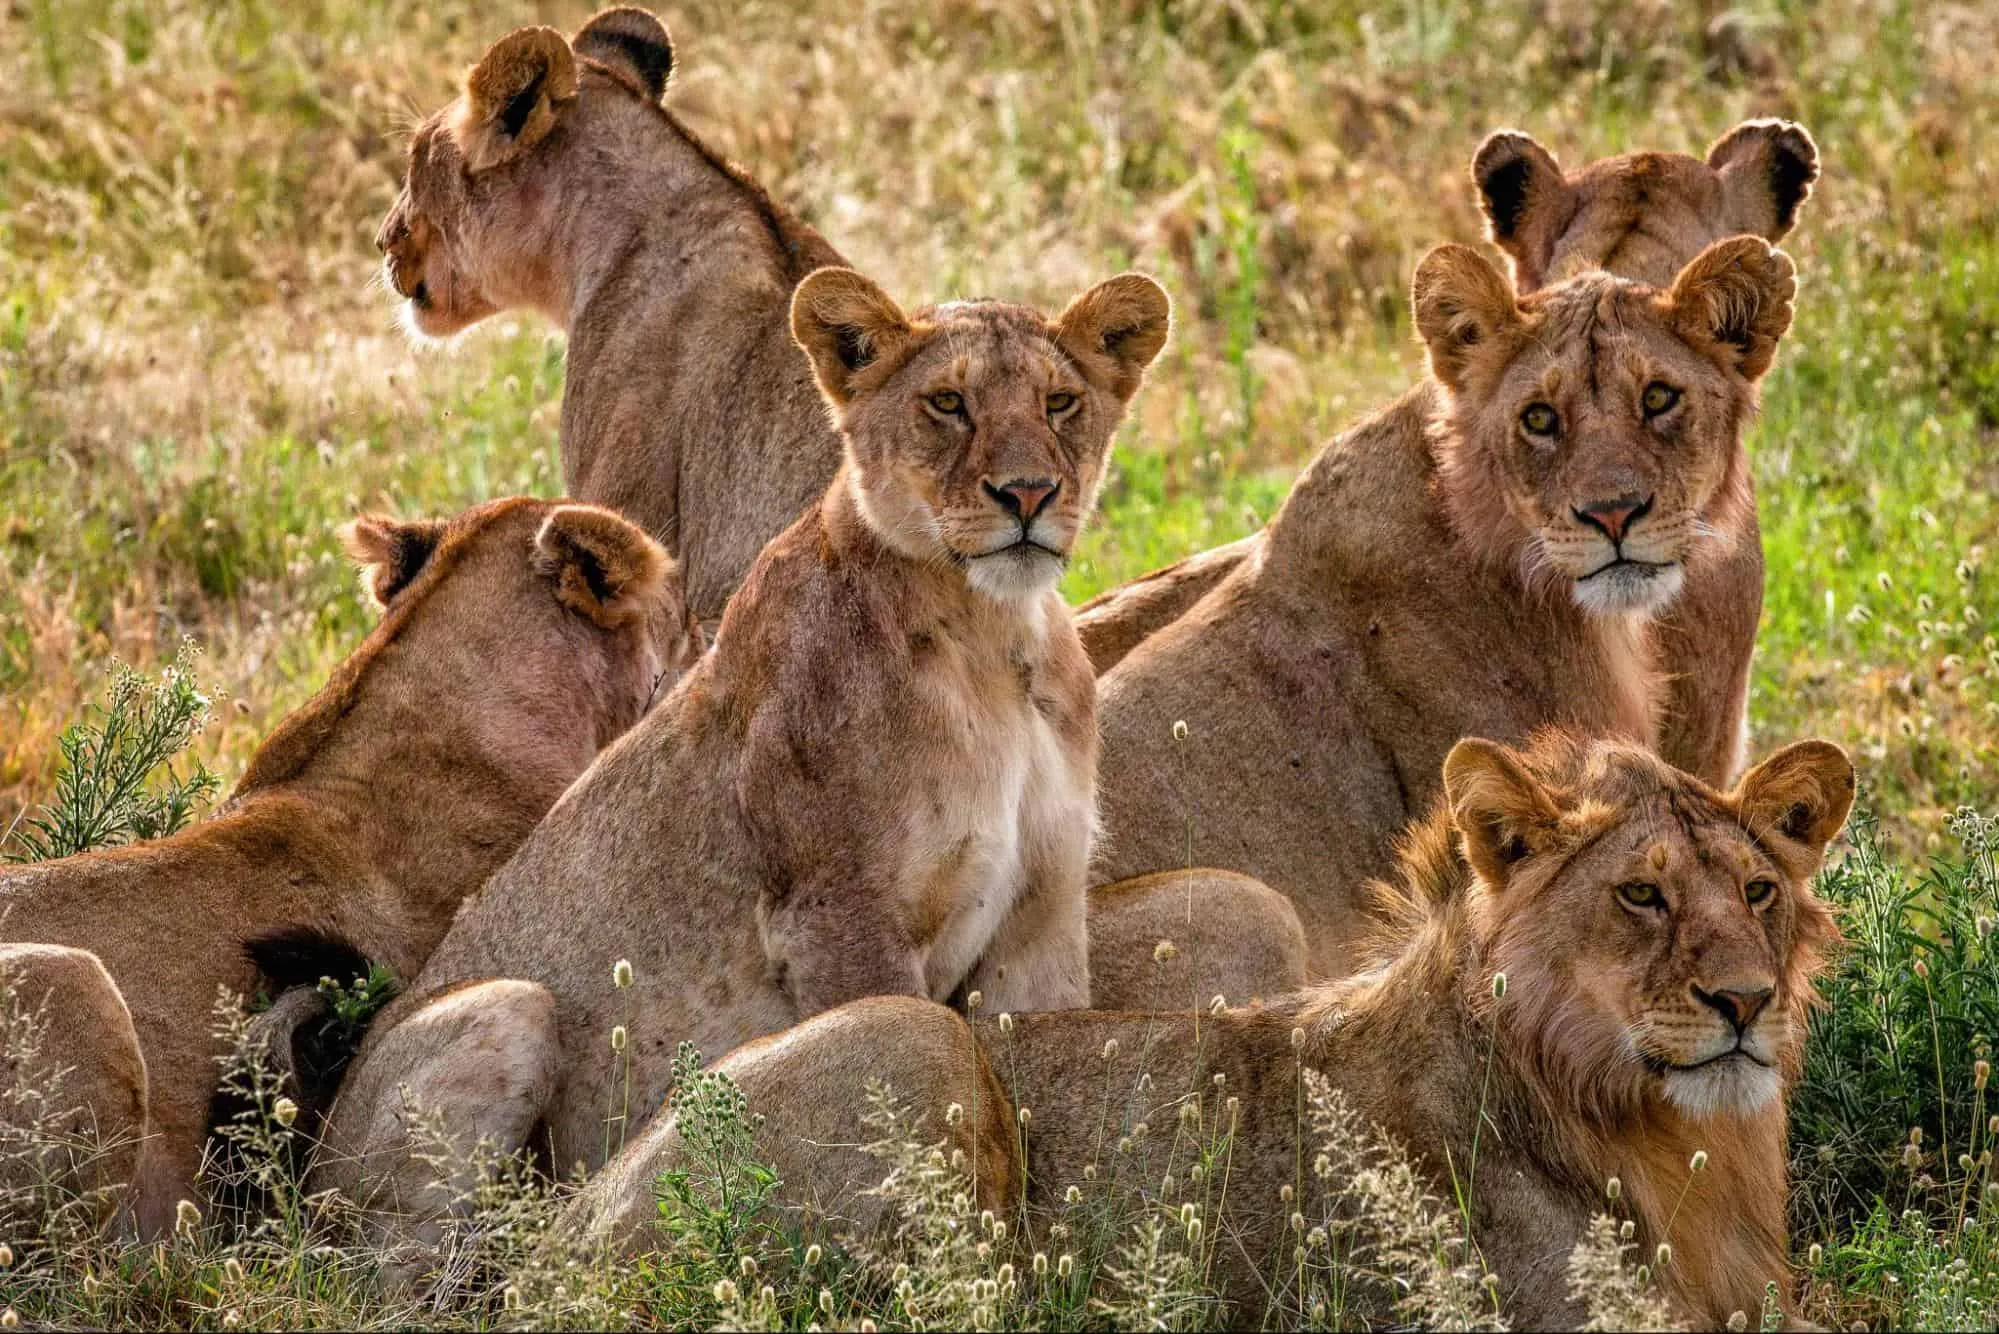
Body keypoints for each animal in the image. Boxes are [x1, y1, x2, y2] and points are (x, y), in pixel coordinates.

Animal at [314, 265, 1188, 1251]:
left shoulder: (1040, 908)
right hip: (506, 1008)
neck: (993, 635)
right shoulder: (833, 910)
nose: (1029, 493)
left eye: (1059, 401)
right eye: (947, 403)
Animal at [573, 730, 1854, 1330]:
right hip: (916, 1040)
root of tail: (570, 1221)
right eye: (1639, 895)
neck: (1676, 1140)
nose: (1747, 1000)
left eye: (1757, 891)